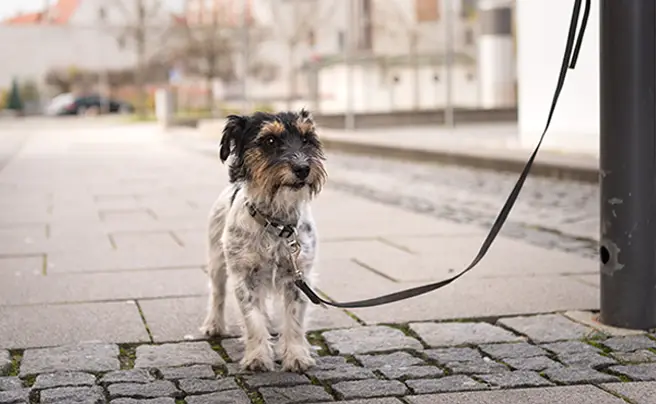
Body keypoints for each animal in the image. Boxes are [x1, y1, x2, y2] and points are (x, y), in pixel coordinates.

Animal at [197, 108, 326, 372]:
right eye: (270, 140)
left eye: (307, 139)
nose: (303, 168)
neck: (276, 223)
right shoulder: (243, 277)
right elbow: (252, 319)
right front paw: (257, 357)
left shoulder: (299, 278)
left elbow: (294, 321)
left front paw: (296, 356)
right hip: (216, 261)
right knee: (217, 294)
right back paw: (213, 325)